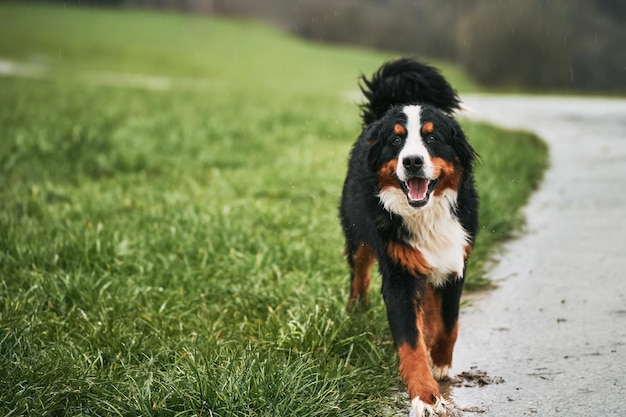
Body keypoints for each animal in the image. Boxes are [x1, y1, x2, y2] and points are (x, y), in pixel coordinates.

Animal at [338, 57, 476, 414]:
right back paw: (356, 311)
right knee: (359, 275)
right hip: (358, 237)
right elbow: (410, 343)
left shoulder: (454, 260)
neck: (426, 215)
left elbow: (449, 322)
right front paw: (425, 396)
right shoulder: (400, 274)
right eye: (397, 140)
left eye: (432, 137)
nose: (412, 161)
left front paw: (440, 361)